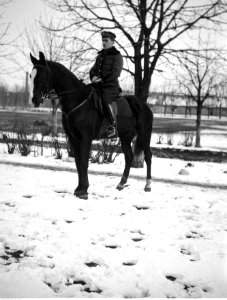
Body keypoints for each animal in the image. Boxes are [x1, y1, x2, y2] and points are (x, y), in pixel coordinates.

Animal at [28, 51, 153, 199]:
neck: (77, 100)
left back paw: (148, 185)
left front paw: (84, 191)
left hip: (144, 134)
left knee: (148, 156)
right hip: (125, 137)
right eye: (31, 75)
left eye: (42, 75)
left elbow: (83, 163)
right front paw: (79, 188)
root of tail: (144, 105)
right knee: (129, 157)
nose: (34, 100)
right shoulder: (73, 139)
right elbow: (78, 163)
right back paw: (121, 184)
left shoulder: (85, 138)